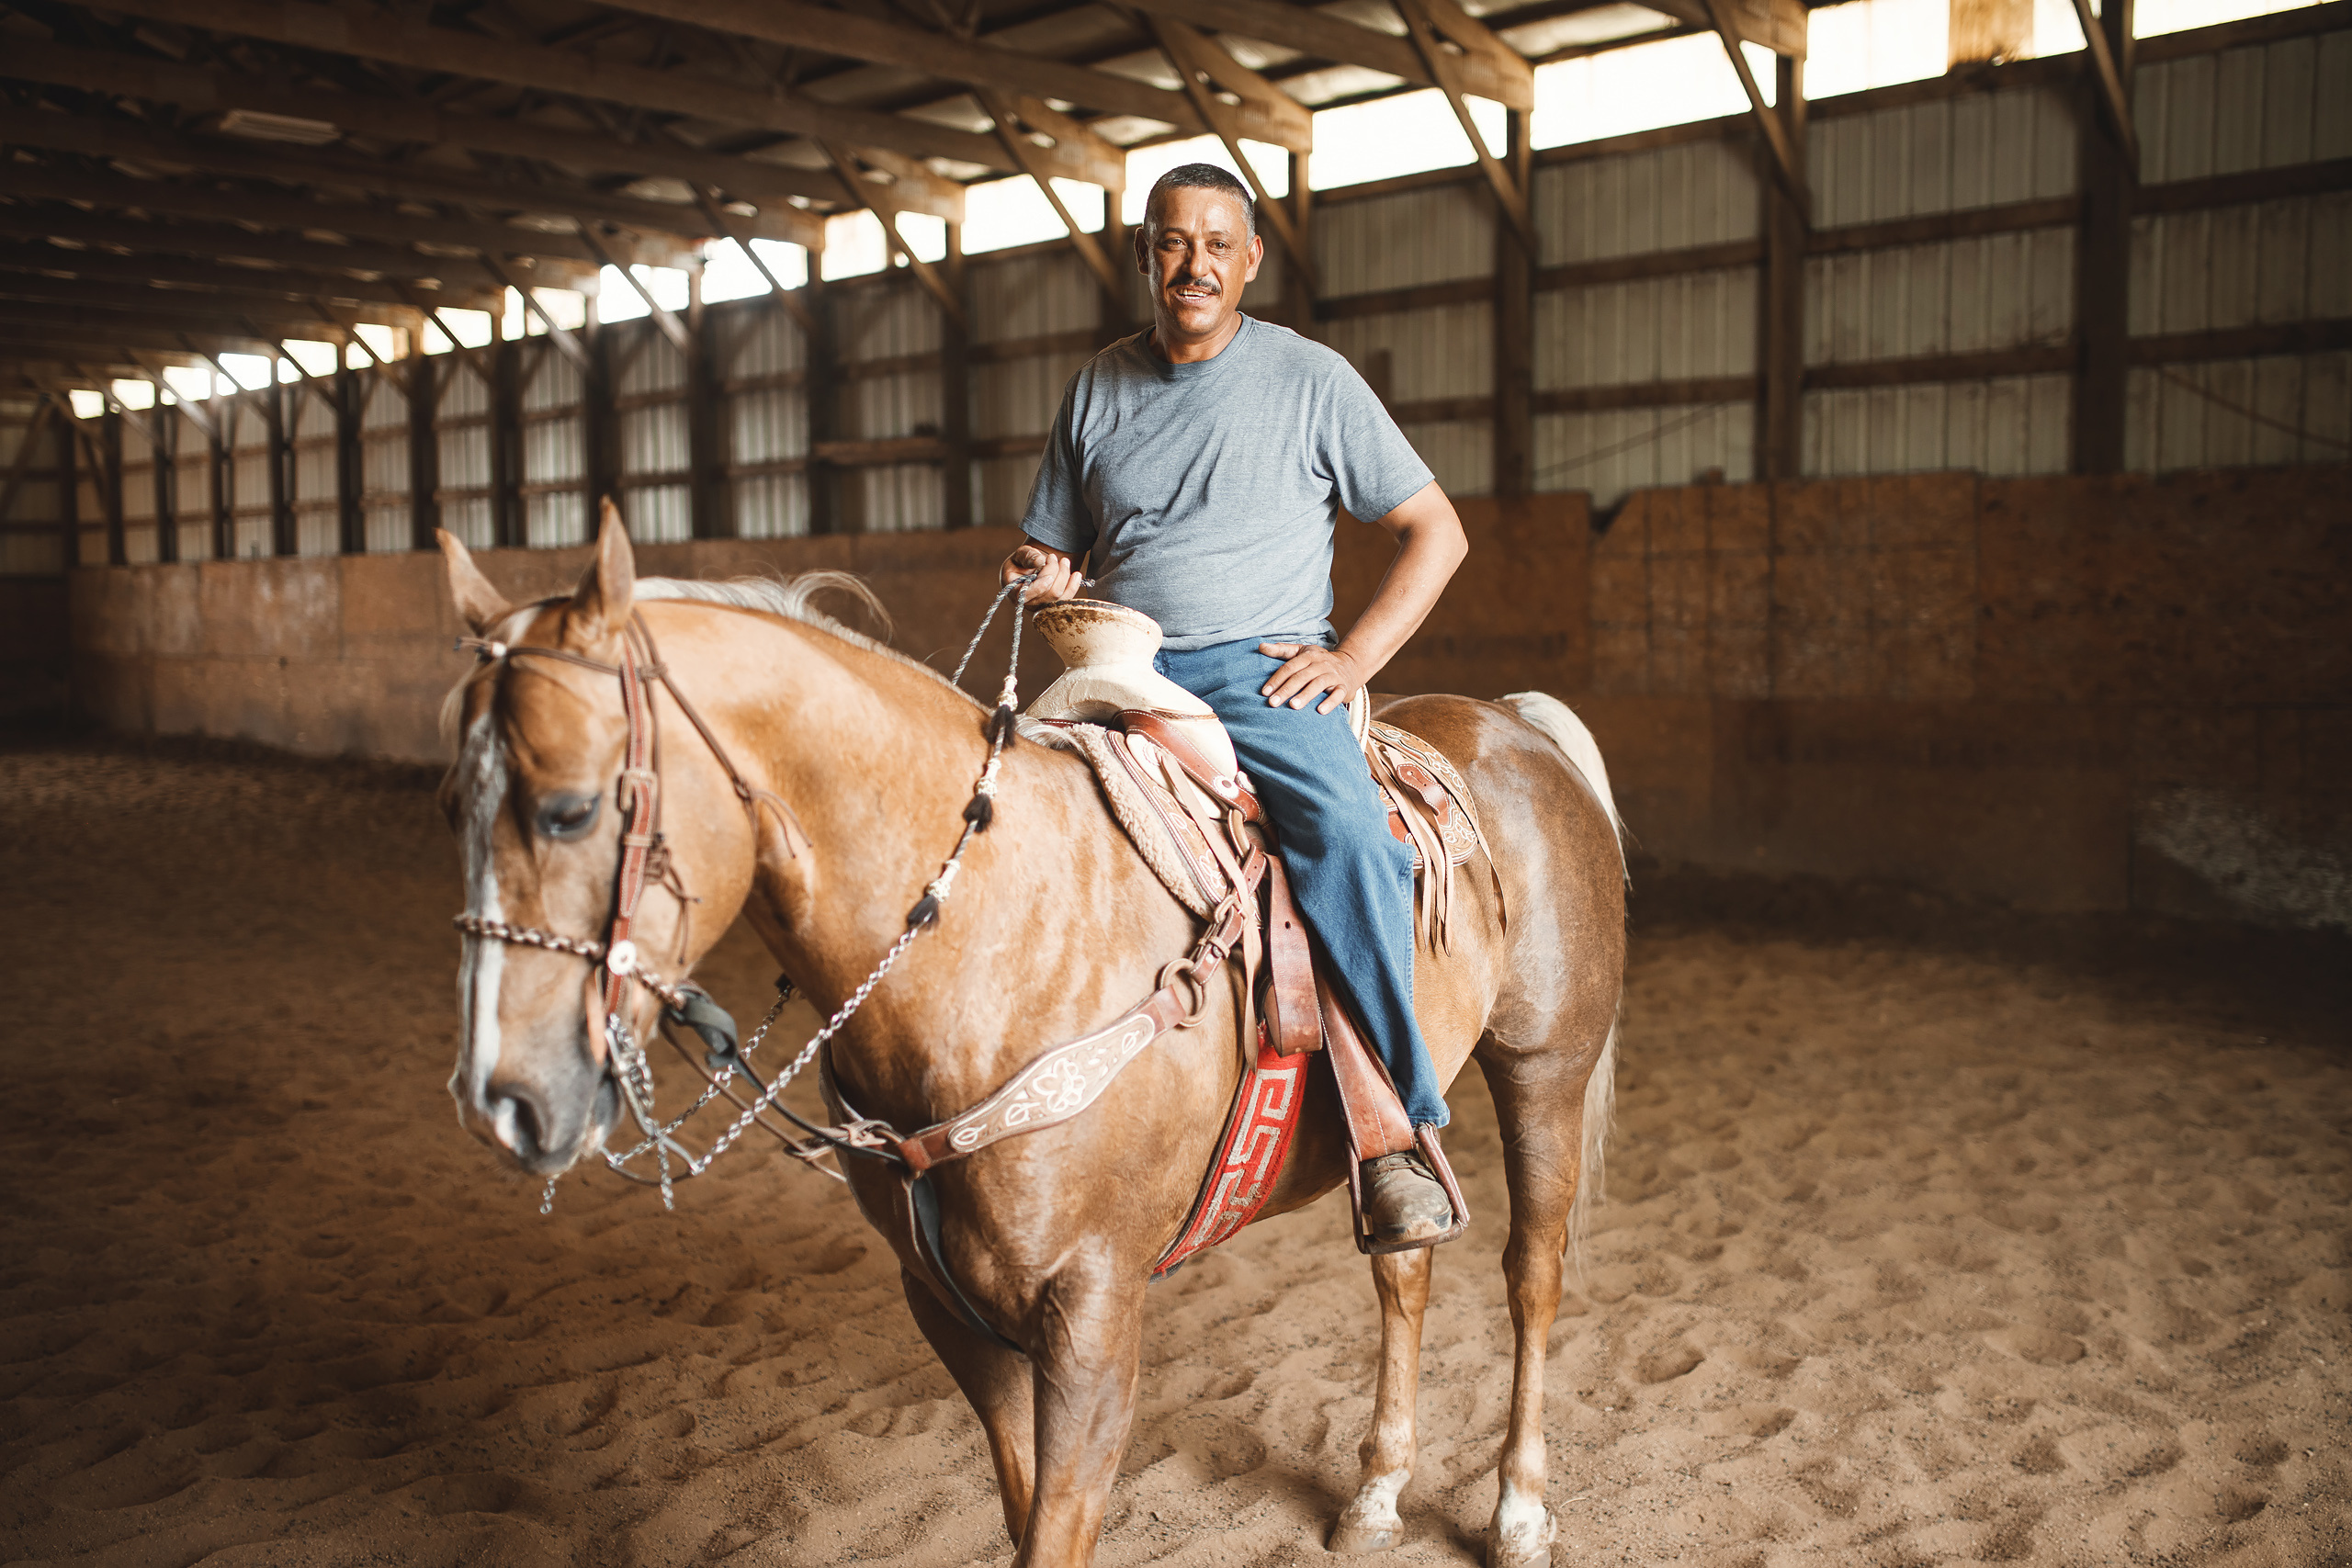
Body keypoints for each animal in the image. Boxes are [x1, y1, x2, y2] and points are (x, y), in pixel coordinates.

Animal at [436, 509, 1626, 1568]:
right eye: (455, 806)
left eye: (570, 809)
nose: (505, 1100)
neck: (992, 939)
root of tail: (1511, 721)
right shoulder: (953, 1311)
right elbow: (1020, 1514)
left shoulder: (1092, 1318)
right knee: (1404, 1265)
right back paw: (1376, 1496)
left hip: (1545, 1071)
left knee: (1531, 1275)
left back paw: (1519, 1514)